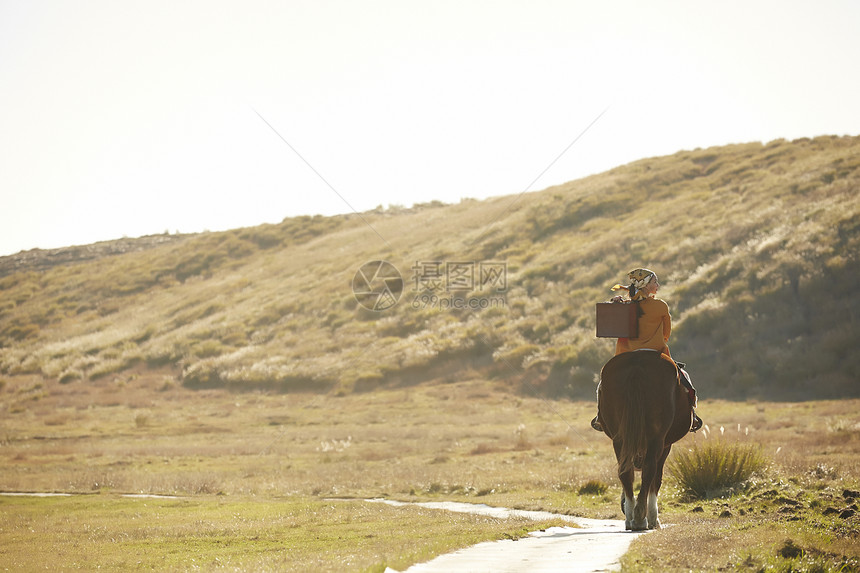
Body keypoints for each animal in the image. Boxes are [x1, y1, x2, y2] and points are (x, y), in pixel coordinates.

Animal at [596, 350, 692, 528]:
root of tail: (637, 364)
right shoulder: (665, 445)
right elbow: (657, 479)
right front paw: (654, 518)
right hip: (656, 439)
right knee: (649, 470)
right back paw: (642, 517)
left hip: (619, 439)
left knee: (625, 471)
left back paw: (630, 517)